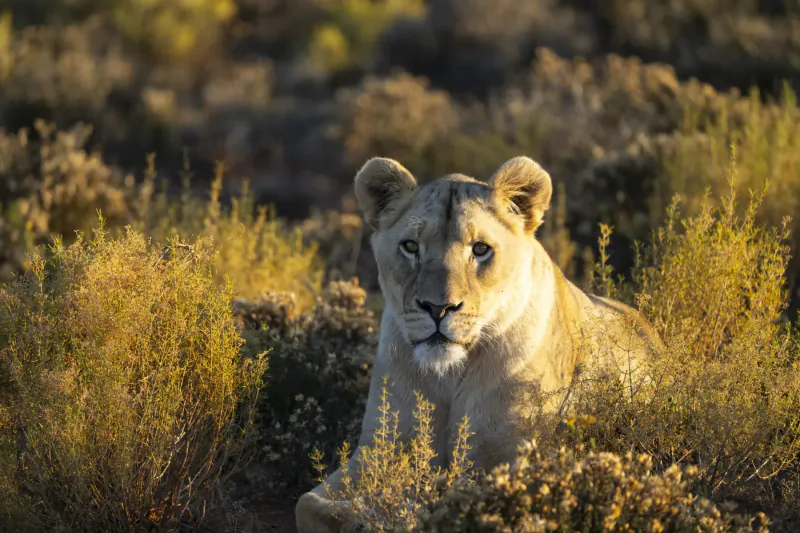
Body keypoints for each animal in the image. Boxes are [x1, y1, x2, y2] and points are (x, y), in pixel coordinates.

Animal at [295, 156, 661, 533]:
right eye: (411, 247)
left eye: (481, 250)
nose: (437, 307)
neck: (447, 375)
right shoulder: (380, 450)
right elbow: (307, 503)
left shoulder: (508, 463)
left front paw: (398, 511)